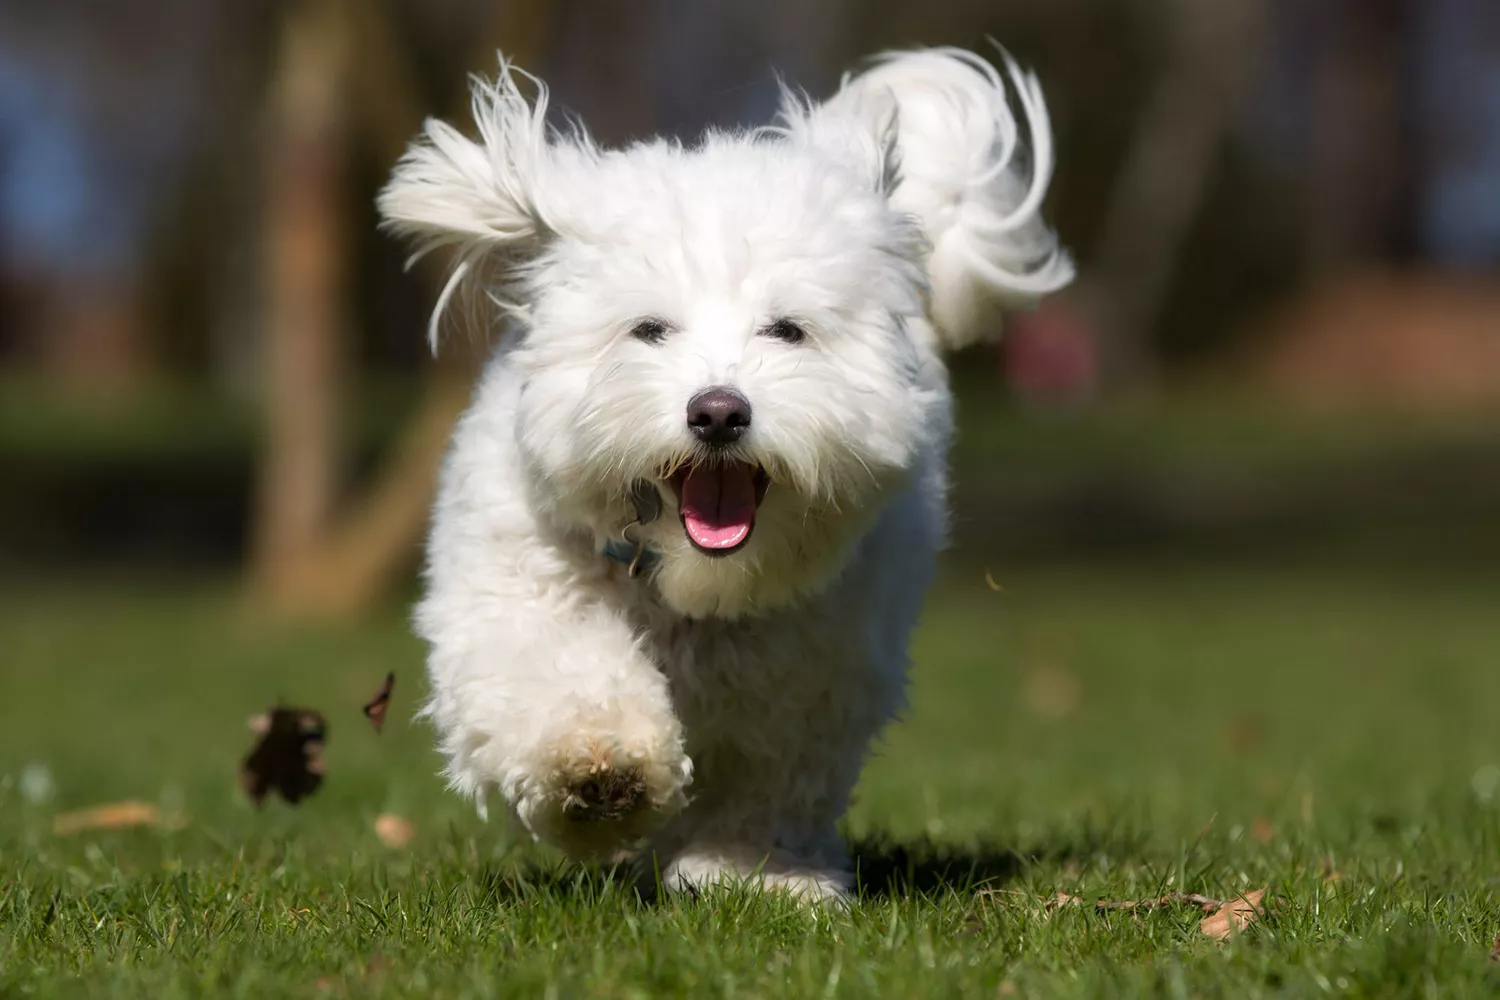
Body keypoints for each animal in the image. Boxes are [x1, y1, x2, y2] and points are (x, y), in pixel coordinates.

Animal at [381, 44, 1074, 899]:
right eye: (649, 329)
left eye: (787, 330)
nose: (717, 412)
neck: (694, 586)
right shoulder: (515, 595)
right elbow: (556, 674)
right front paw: (599, 768)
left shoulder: (812, 669)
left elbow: (767, 777)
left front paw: (756, 873)